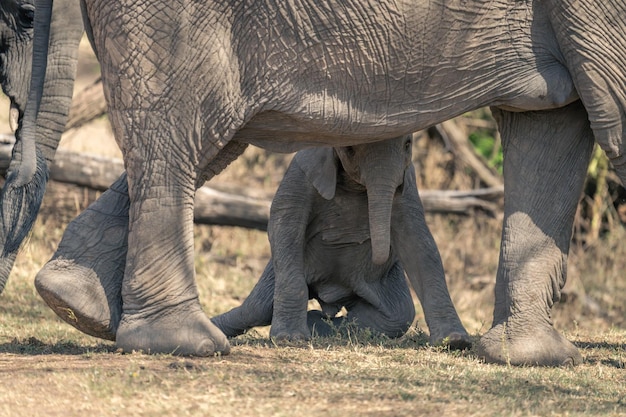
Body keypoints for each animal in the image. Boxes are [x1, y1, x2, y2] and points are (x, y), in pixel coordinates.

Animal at [212, 135, 466, 346]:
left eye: (408, 144)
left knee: (398, 315)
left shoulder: (408, 181)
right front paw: (289, 339)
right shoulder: (301, 171)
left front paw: (454, 342)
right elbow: (285, 222)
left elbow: (418, 242)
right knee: (257, 308)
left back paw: (316, 322)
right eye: (350, 149)